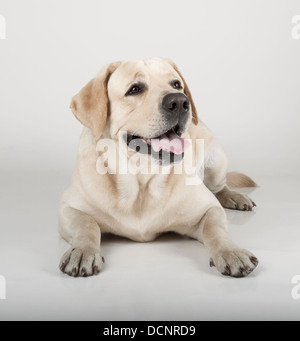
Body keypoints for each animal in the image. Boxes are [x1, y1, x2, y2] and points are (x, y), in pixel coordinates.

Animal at [58, 57, 258, 276]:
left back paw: (234, 196)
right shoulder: (68, 208)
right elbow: (87, 224)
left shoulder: (208, 209)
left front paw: (231, 251)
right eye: (135, 89)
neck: (141, 178)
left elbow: (216, 229)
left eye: (176, 84)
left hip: (216, 161)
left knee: (220, 187)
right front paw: (83, 250)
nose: (179, 101)